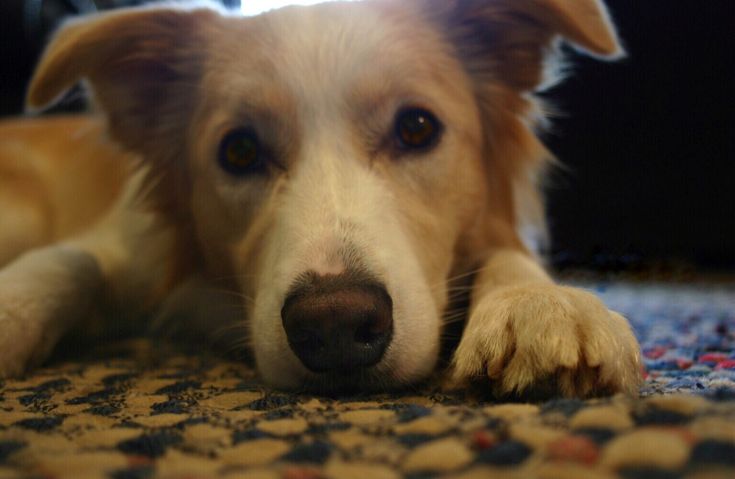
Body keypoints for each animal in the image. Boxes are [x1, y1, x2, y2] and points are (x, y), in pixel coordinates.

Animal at [0, 0, 640, 398]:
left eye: (416, 128)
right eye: (239, 151)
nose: (334, 325)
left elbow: (509, 255)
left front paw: (539, 304)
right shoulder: (126, 241)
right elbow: (72, 259)